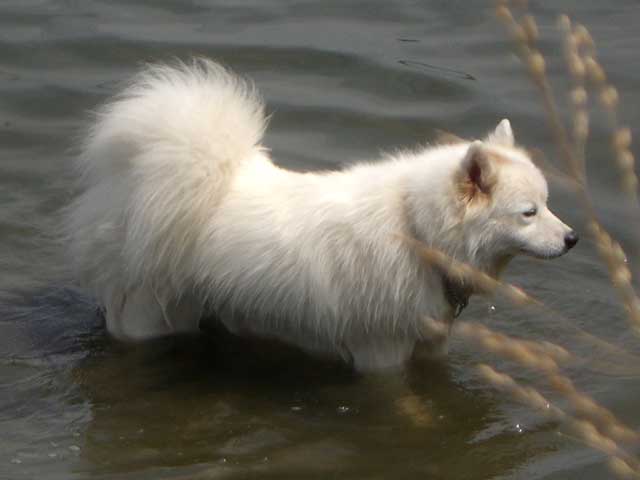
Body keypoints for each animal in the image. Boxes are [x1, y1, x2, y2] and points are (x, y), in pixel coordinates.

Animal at [63, 58, 576, 370]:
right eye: (528, 213)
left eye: (548, 204)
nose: (573, 239)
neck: (416, 231)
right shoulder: (381, 353)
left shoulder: (430, 343)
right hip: (149, 314)